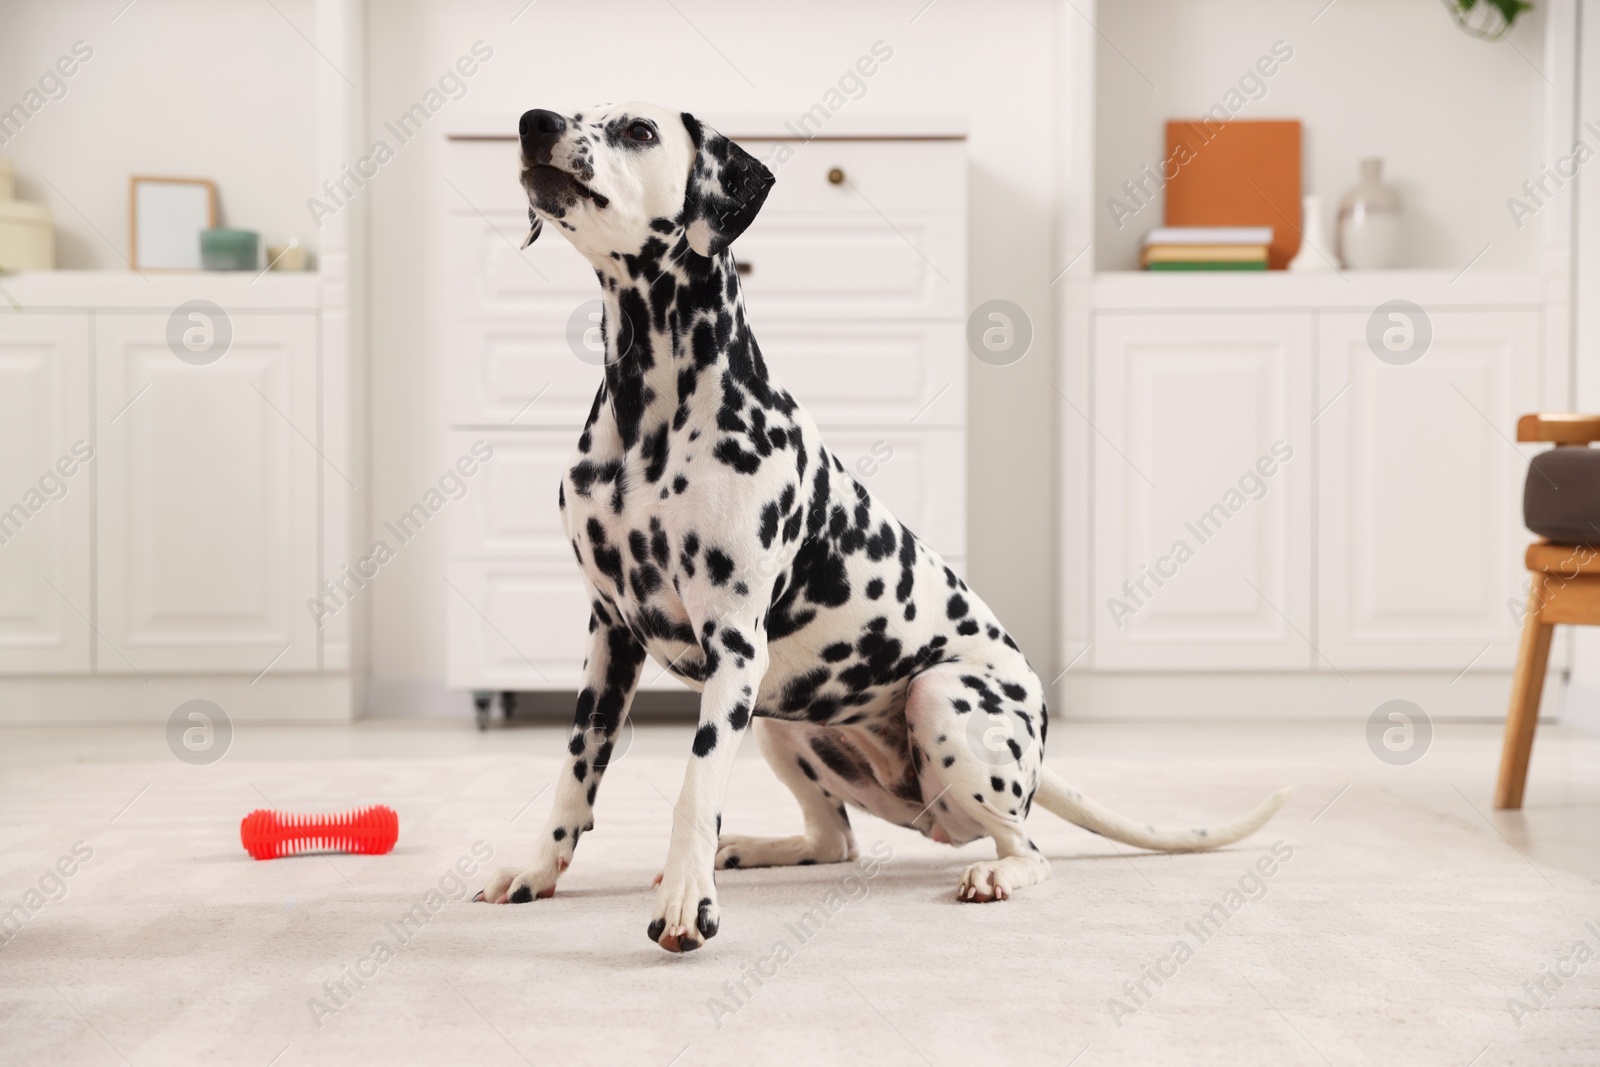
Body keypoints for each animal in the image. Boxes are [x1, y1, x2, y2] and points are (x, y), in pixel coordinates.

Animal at [473, 102, 1286, 953]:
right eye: (571, 108)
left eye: (637, 130)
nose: (532, 121)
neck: (648, 417)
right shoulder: (610, 637)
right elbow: (575, 774)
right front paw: (538, 870)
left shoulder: (733, 642)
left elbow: (696, 787)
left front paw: (686, 902)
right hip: (780, 716)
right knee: (836, 840)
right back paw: (756, 847)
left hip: (935, 696)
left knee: (1028, 845)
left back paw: (994, 873)